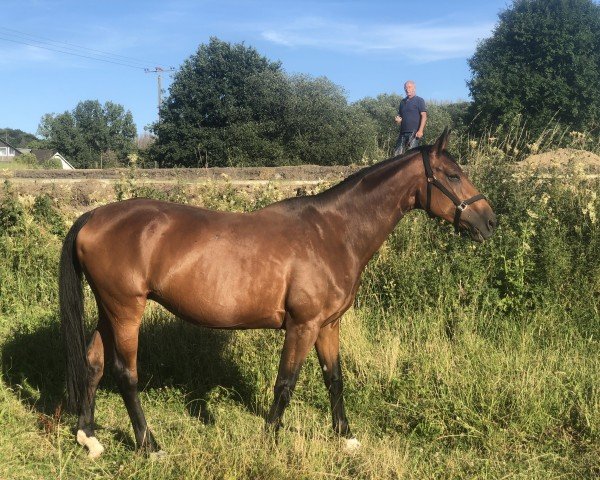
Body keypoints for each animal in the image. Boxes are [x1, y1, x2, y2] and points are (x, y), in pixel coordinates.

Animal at [59, 128, 496, 458]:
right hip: (126, 311)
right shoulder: (303, 326)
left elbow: (334, 379)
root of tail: (94, 216)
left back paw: (89, 437)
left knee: (93, 364)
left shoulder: (328, 326)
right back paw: (150, 445)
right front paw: (269, 439)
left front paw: (346, 437)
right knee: (125, 373)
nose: (490, 222)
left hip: (109, 311)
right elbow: (286, 383)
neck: (332, 233)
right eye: (452, 175)